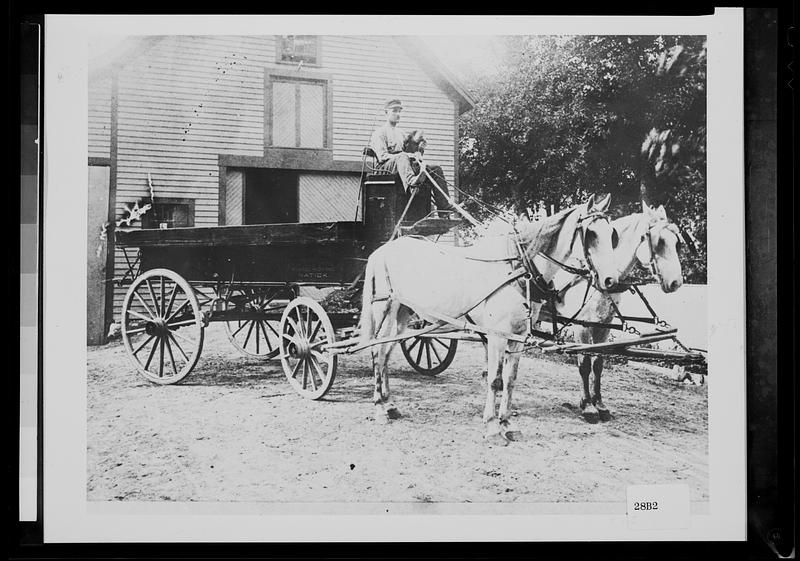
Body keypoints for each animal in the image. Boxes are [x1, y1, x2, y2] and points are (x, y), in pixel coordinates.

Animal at [360, 195, 620, 444]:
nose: (610, 281)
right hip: (384, 309)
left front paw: (508, 424)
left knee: (385, 353)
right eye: (591, 233)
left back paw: (390, 405)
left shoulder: (518, 337)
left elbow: (510, 380)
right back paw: (380, 407)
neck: (519, 268)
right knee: (377, 351)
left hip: (403, 314)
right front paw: (493, 427)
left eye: (612, 235)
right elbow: (495, 380)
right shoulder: (497, 336)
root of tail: (382, 251)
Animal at [552, 202, 684, 420]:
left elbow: (598, 364)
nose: (676, 283)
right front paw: (588, 407)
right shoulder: (582, 327)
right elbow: (584, 364)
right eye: (659, 241)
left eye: (676, 241)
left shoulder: (604, 326)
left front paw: (600, 404)